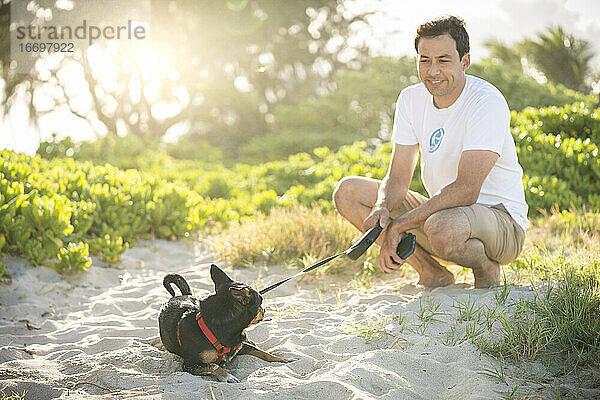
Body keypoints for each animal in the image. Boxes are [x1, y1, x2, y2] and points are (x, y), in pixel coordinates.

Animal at [158, 264, 292, 382]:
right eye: (261, 302)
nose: (264, 310)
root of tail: (183, 295)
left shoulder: (240, 347)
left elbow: (261, 352)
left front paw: (281, 359)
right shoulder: (189, 364)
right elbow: (214, 366)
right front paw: (227, 376)